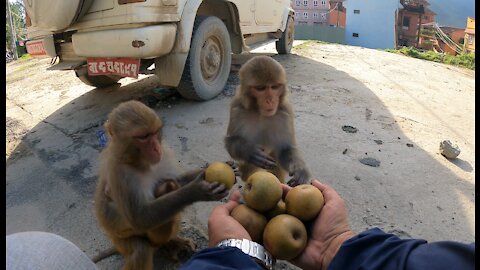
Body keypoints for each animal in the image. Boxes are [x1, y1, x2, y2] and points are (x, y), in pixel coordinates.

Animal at [94, 100, 230, 268]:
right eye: (143, 136)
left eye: (155, 132)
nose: (156, 148)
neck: (142, 163)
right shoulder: (121, 174)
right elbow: (141, 217)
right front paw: (195, 191)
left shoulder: (164, 154)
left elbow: (178, 179)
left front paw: (209, 170)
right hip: (120, 240)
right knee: (141, 249)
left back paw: (172, 242)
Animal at [224, 54, 312, 186]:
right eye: (260, 88)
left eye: (274, 87)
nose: (270, 100)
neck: (260, 112)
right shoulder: (237, 108)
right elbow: (231, 141)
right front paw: (250, 151)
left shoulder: (285, 111)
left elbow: (285, 148)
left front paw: (300, 170)